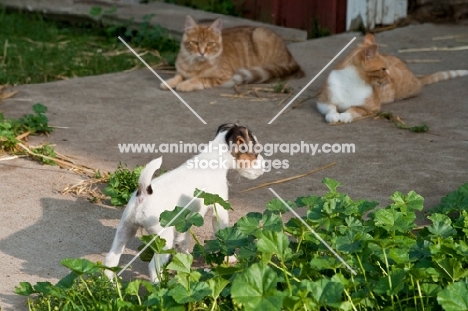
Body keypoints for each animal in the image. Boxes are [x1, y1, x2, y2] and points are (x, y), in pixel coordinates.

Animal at [106, 123, 266, 282]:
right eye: (256, 153)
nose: (265, 168)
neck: (213, 158)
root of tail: (144, 194)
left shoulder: (184, 221)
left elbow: (182, 241)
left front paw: (184, 260)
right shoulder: (219, 207)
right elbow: (223, 235)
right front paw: (230, 257)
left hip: (125, 230)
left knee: (110, 261)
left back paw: (110, 284)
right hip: (163, 240)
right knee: (153, 267)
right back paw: (161, 285)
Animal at [160, 15, 304, 92]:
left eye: (210, 44)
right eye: (195, 43)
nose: (202, 53)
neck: (194, 64)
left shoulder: (224, 76)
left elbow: (200, 79)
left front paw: (185, 84)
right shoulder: (181, 71)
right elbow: (178, 76)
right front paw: (169, 82)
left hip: (260, 35)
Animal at [318, 33, 468, 123]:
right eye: (383, 69)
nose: (390, 79)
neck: (353, 82)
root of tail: (415, 76)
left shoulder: (373, 107)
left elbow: (356, 109)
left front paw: (345, 115)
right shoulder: (321, 101)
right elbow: (331, 107)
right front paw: (333, 115)